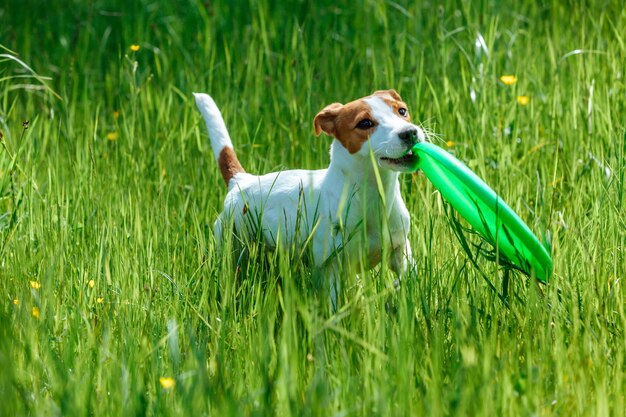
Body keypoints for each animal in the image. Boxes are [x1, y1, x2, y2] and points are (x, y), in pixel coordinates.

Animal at [193, 90, 422, 306]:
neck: (372, 193)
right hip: (233, 245)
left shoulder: (401, 248)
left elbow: (408, 276)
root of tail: (240, 181)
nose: (410, 132)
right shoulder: (330, 266)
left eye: (402, 111)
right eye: (365, 123)